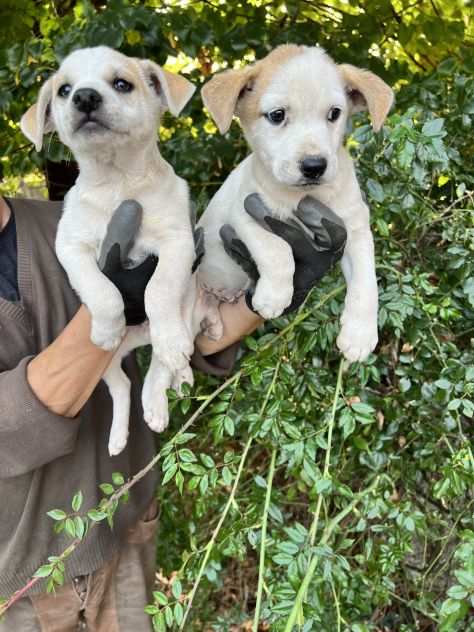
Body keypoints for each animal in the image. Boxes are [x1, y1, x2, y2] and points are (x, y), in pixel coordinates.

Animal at [20, 47, 196, 456]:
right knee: (124, 387)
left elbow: (158, 290)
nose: (85, 97)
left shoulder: (177, 241)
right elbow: (101, 288)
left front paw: (170, 340)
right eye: (64, 90)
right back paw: (118, 437)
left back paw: (161, 393)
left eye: (121, 84)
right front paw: (106, 325)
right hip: (106, 367)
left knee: (160, 367)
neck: (118, 182)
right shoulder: (72, 246)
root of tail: (137, 340)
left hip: (189, 313)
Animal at [198, 44, 394, 362]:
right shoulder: (246, 212)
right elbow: (277, 251)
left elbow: (367, 282)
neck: (305, 196)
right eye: (277, 115)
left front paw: (360, 335)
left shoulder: (354, 230)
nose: (314, 166)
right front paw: (273, 296)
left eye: (334, 113)